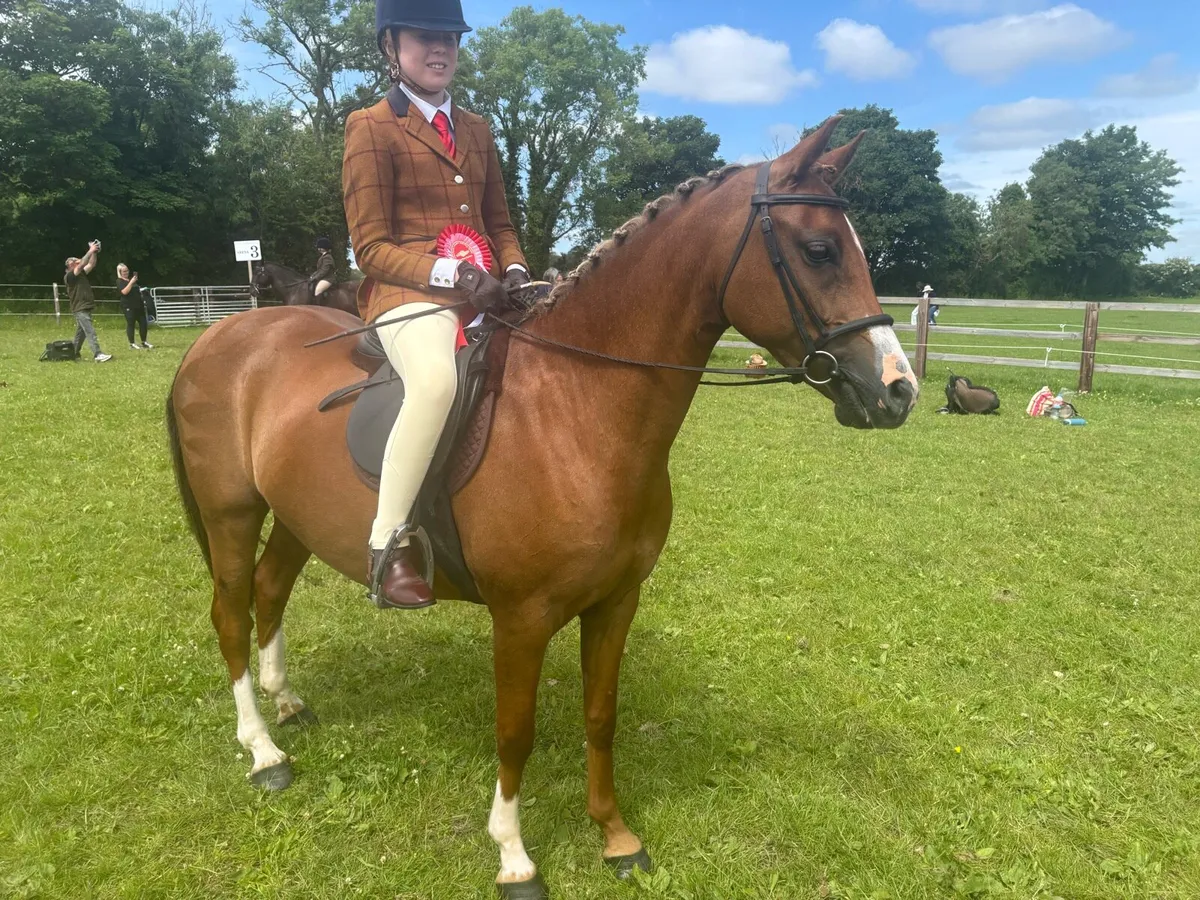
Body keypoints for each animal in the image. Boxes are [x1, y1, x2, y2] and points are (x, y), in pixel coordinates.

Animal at [166, 118, 918, 898]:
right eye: (820, 250)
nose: (899, 389)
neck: (576, 405)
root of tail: (220, 336)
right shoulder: (521, 619)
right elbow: (515, 730)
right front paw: (514, 855)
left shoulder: (616, 601)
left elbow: (600, 713)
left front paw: (616, 837)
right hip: (231, 513)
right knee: (230, 610)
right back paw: (263, 752)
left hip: (295, 517)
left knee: (271, 588)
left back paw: (286, 704)